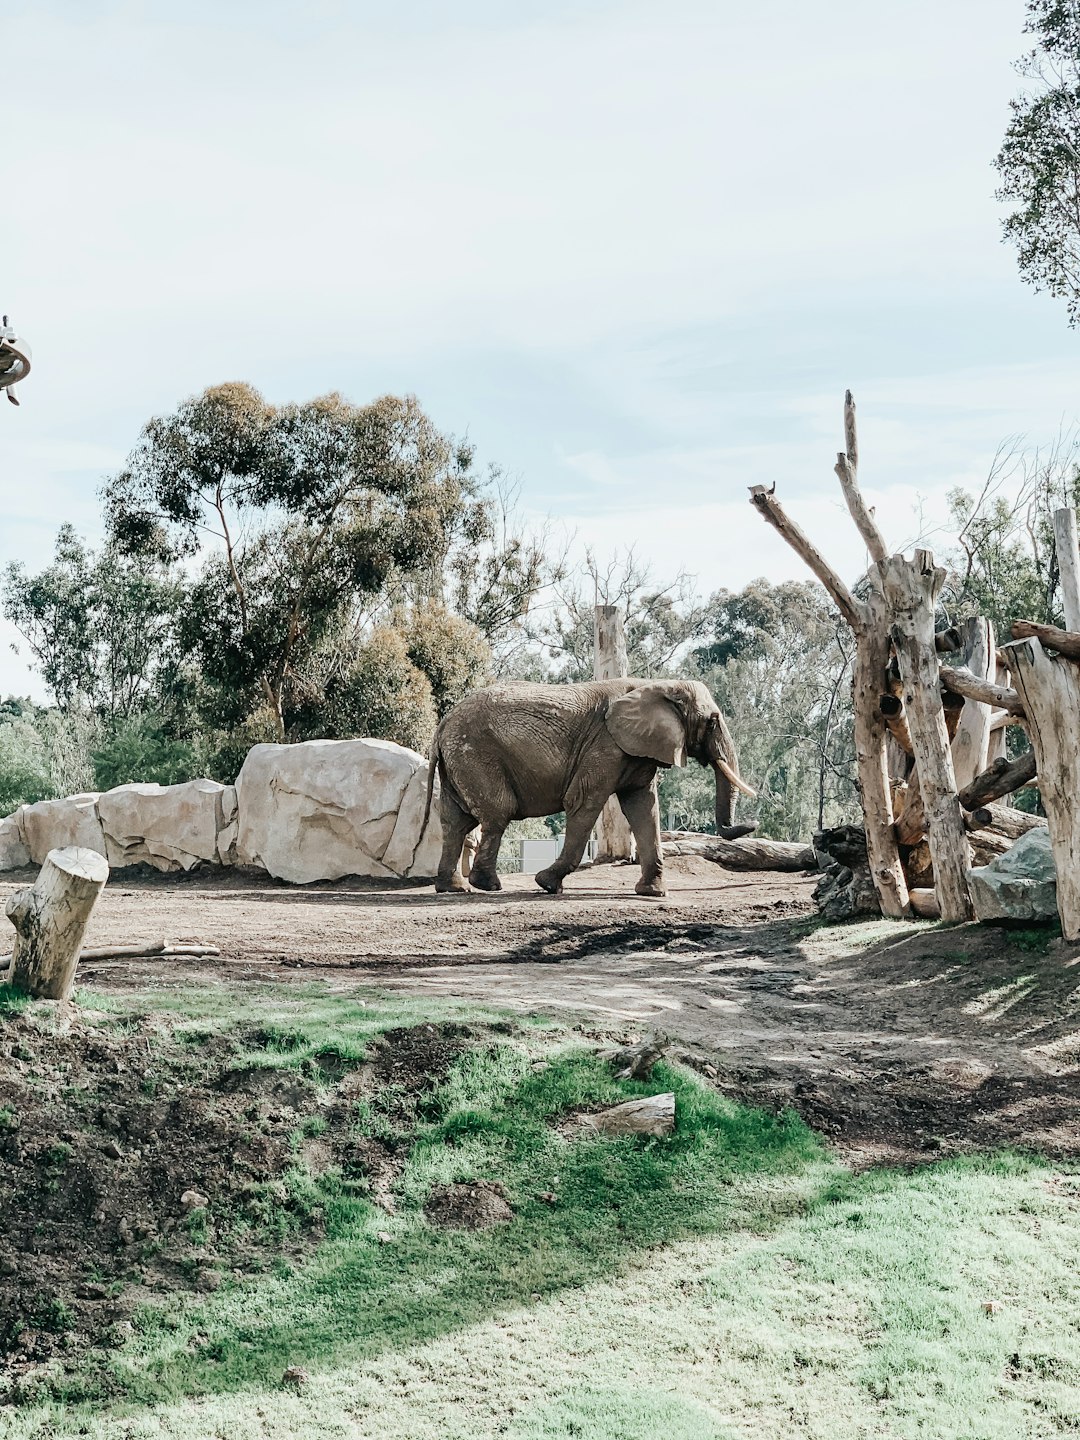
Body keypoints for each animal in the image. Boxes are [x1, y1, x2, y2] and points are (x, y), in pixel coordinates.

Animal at [417, 676, 754, 898]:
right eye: (712, 722)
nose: (752, 823)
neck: (656, 684)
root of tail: (441, 726)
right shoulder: (604, 746)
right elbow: (583, 802)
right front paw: (546, 884)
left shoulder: (635, 750)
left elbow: (643, 808)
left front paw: (652, 893)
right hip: (475, 754)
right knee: (497, 814)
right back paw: (487, 886)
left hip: (459, 759)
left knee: (455, 821)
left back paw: (453, 887)